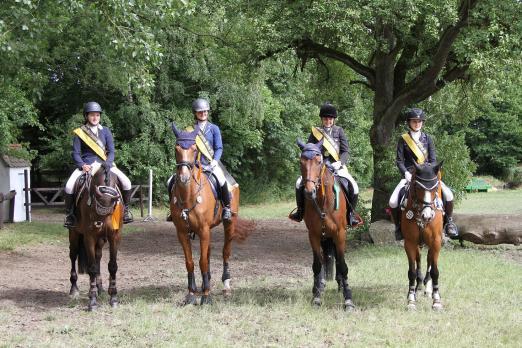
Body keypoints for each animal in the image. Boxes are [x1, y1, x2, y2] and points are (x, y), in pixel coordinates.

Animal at [67, 167, 122, 312]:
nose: (98, 225)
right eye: (95, 202)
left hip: (101, 240)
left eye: (111, 209)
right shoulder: (89, 237)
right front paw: (92, 301)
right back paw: (74, 289)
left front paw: (113, 298)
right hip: (74, 235)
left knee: (98, 256)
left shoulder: (114, 237)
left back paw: (100, 287)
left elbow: (112, 266)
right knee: (73, 256)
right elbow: (91, 268)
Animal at [170, 124, 249, 304]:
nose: (184, 177)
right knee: (209, 252)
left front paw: (206, 296)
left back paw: (226, 284)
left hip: (229, 223)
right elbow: (190, 262)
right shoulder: (182, 232)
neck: (188, 196)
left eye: (194, 149)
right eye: (176, 148)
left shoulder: (203, 230)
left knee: (225, 251)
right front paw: (192, 294)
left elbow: (203, 261)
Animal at [294, 140, 356, 312]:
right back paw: (320, 285)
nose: (309, 192)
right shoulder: (314, 234)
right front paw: (316, 297)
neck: (322, 200)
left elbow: (342, 264)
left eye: (319, 161)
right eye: (301, 162)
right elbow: (317, 264)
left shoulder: (340, 233)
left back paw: (340, 284)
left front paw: (348, 300)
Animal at [398, 160, 442, 310]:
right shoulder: (410, 243)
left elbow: (435, 271)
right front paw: (411, 300)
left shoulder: (436, 242)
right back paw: (417, 287)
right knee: (419, 260)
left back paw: (428, 289)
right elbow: (411, 271)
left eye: (436, 187)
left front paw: (436, 300)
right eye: (417, 186)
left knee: (429, 261)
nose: (427, 216)